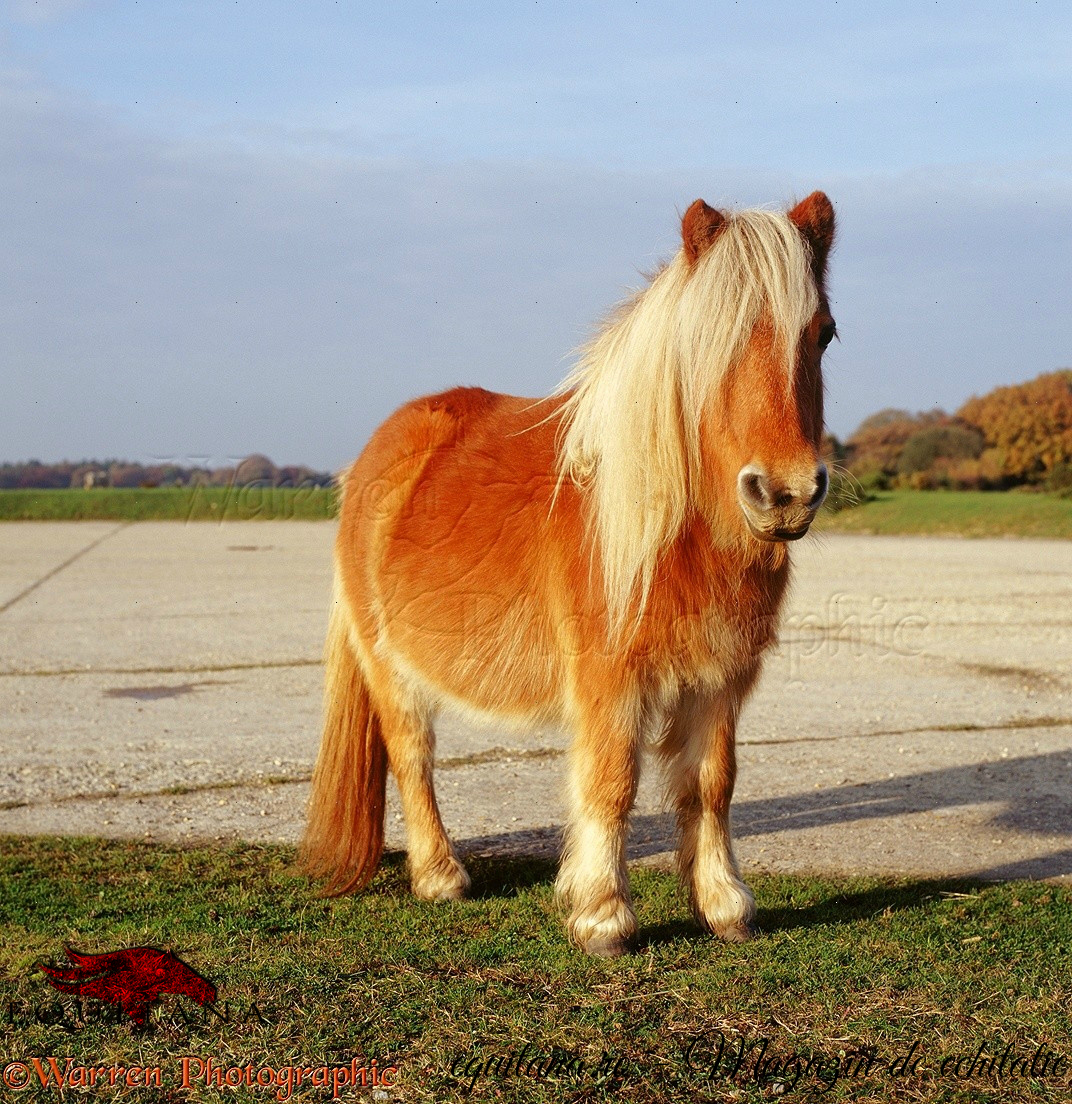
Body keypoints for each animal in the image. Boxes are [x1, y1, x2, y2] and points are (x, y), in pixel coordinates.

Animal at [302, 192, 839, 958]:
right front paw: (603, 917)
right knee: (412, 755)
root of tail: (378, 450)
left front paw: (724, 905)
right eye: (708, 340)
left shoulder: (720, 681)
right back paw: (440, 876)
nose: (786, 493)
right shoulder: (609, 681)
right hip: (389, 666)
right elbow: (612, 783)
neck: (667, 531)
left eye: (823, 335)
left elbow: (713, 783)